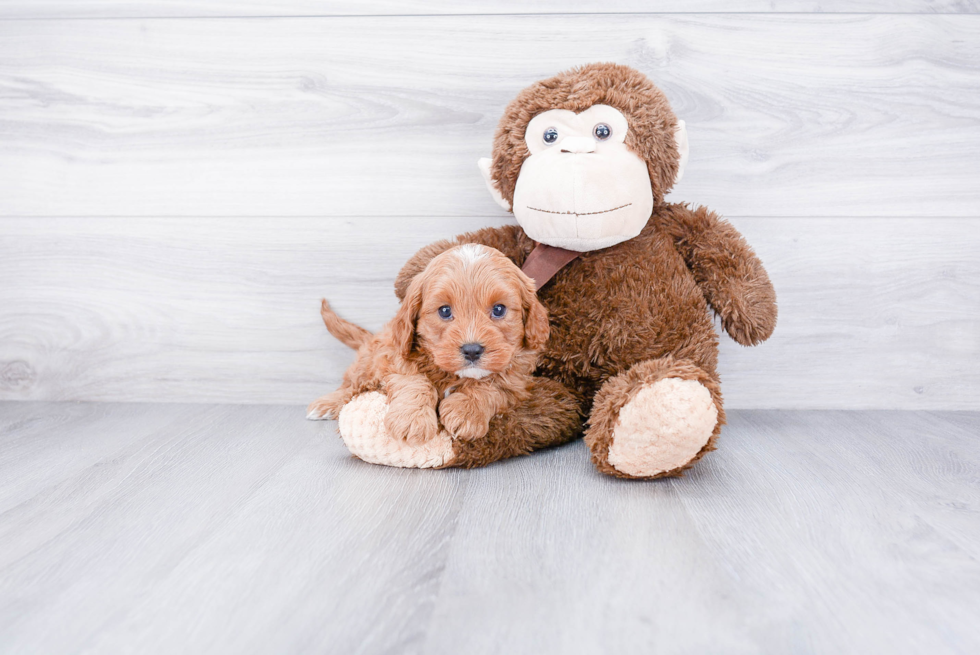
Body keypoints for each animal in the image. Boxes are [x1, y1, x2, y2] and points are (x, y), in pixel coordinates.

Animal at [306, 246, 552, 446]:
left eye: (499, 309)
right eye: (444, 311)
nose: (472, 350)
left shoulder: (517, 379)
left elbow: (491, 385)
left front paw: (466, 412)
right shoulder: (396, 358)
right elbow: (414, 381)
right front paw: (411, 420)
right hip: (369, 361)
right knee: (352, 385)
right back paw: (325, 404)